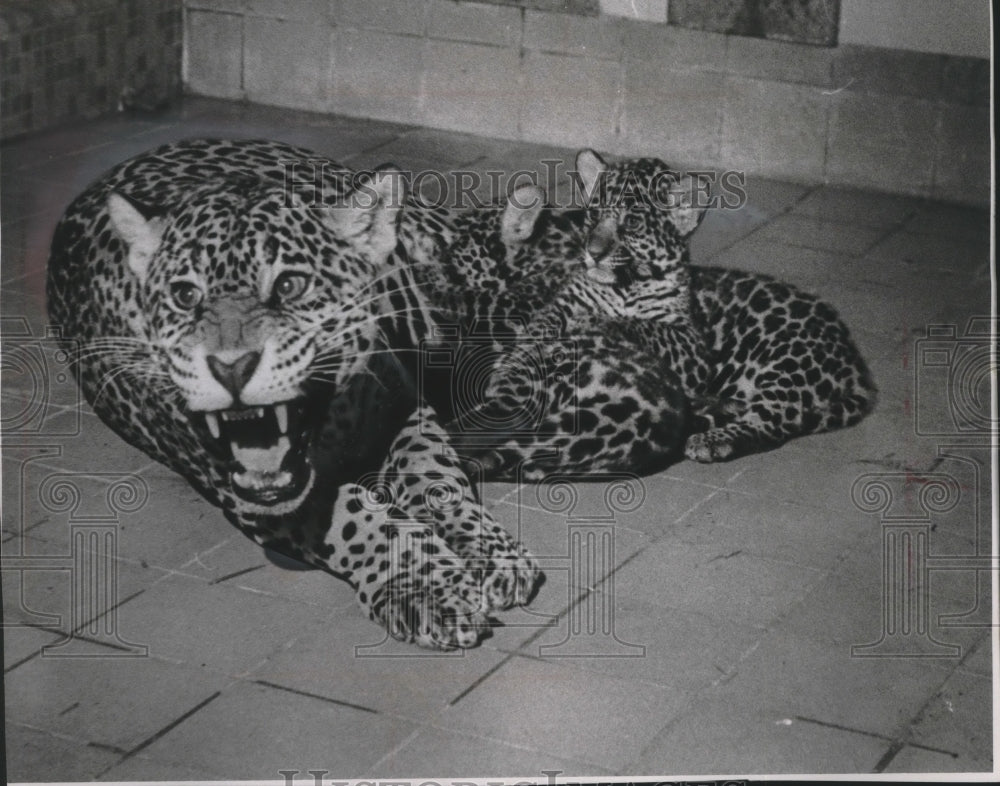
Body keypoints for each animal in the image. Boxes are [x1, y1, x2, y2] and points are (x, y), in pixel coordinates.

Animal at [45, 138, 540, 650]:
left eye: (290, 285)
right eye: (185, 295)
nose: (231, 367)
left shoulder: (407, 409)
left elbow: (436, 477)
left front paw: (487, 550)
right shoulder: (255, 491)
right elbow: (362, 518)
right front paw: (429, 587)